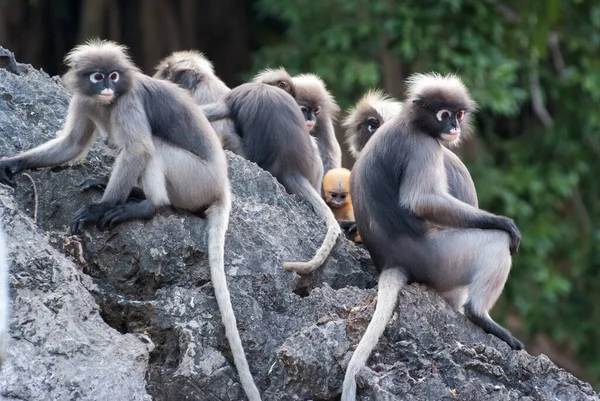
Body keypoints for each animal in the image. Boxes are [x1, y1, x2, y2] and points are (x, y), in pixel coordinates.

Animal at [0, 39, 260, 400]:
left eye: (113, 75)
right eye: (98, 77)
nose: (108, 88)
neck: (107, 101)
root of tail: (222, 186)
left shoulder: (128, 101)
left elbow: (138, 151)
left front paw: (100, 208)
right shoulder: (84, 99)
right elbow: (71, 145)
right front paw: (11, 163)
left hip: (195, 180)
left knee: (153, 147)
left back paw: (146, 205)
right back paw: (131, 193)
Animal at [344, 72, 524, 400]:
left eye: (459, 114)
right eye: (444, 115)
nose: (453, 127)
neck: (410, 122)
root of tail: (393, 261)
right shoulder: (423, 145)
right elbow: (421, 201)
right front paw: (504, 222)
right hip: (442, 261)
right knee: (495, 243)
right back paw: (479, 315)